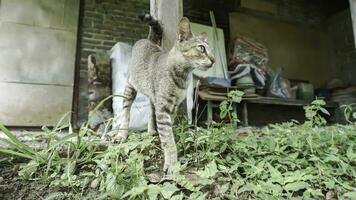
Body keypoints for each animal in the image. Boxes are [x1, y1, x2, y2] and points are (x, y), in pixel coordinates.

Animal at [114, 14, 214, 173]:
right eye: (201, 48)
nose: (214, 60)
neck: (182, 77)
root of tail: (148, 40)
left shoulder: (172, 107)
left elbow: (168, 132)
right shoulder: (164, 108)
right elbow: (168, 139)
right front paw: (172, 164)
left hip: (152, 93)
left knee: (150, 108)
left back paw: (151, 130)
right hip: (130, 87)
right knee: (126, 111)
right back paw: (122, 134)